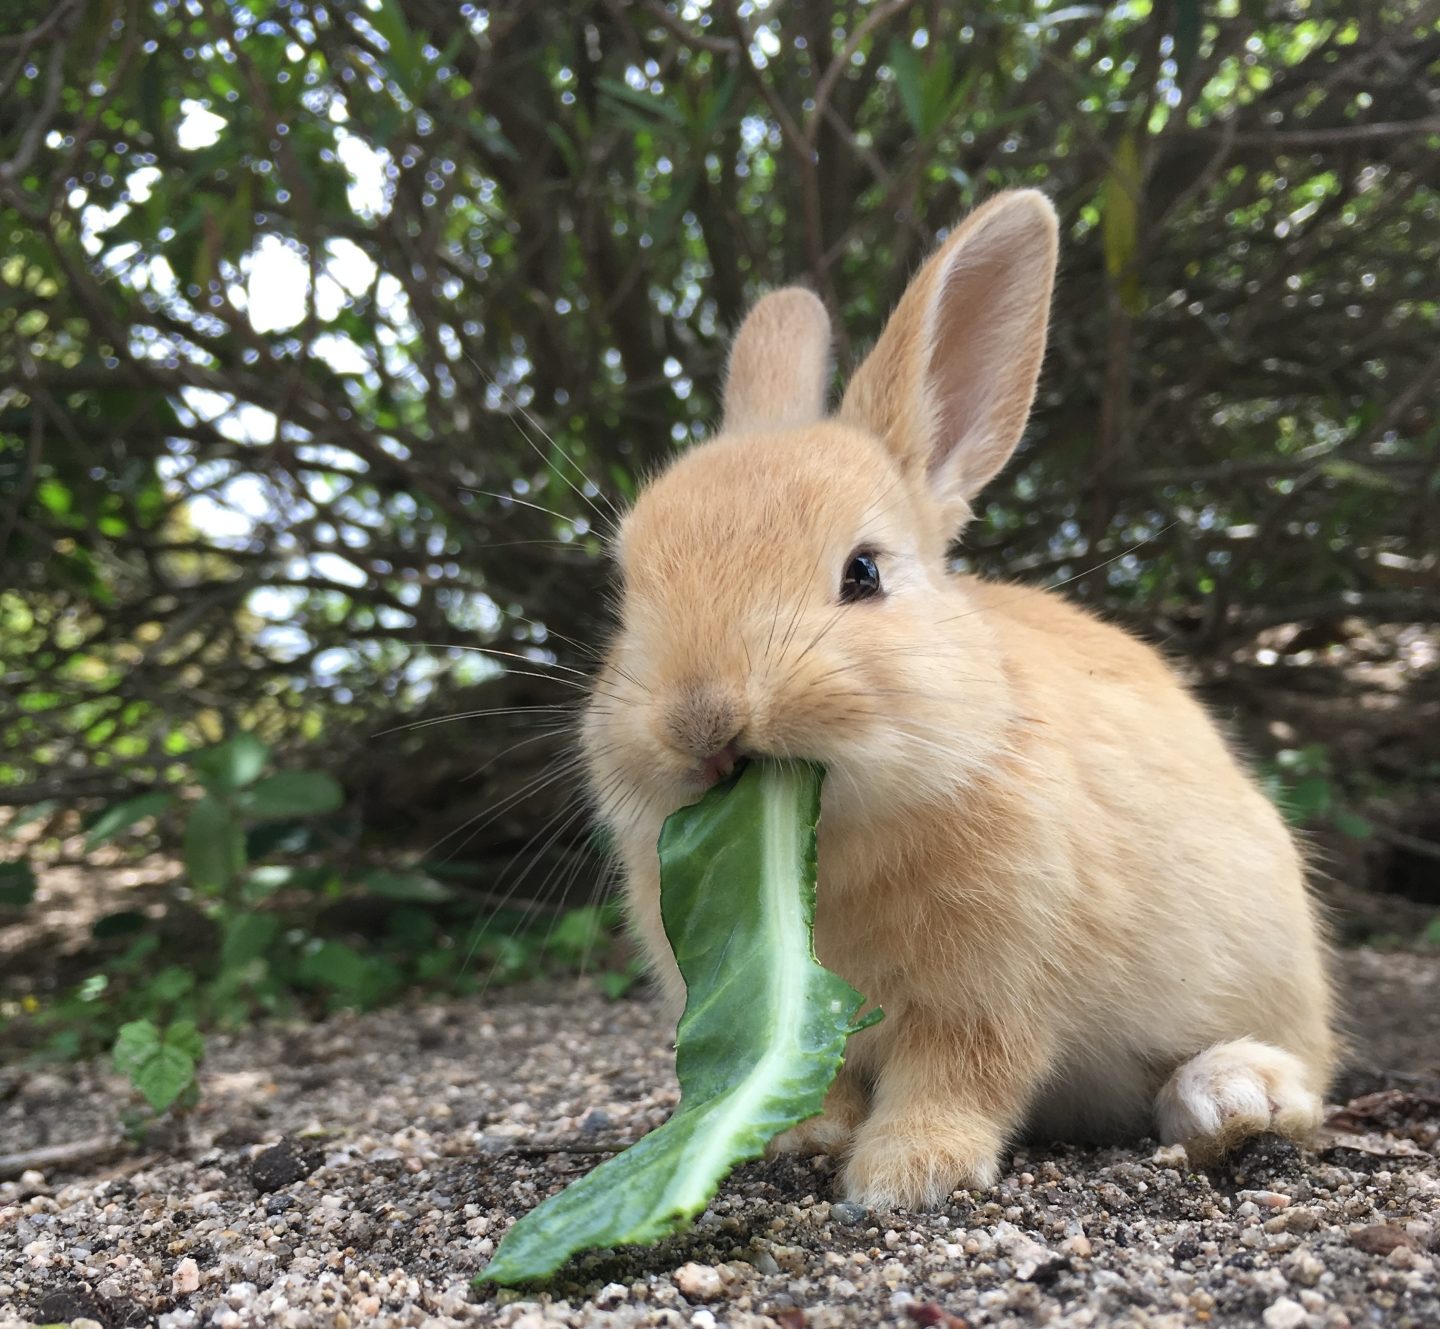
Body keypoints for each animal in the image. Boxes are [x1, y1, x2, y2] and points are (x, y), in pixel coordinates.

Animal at [578, 190, 1330, 1215]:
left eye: (863, 573)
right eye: (623, 594)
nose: (701, 720)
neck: (829, 845)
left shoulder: (991, 991)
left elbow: (959, 1076)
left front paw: (905, 1174)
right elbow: (831, 1081)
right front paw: (801, 1137)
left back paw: (1230, 1093)